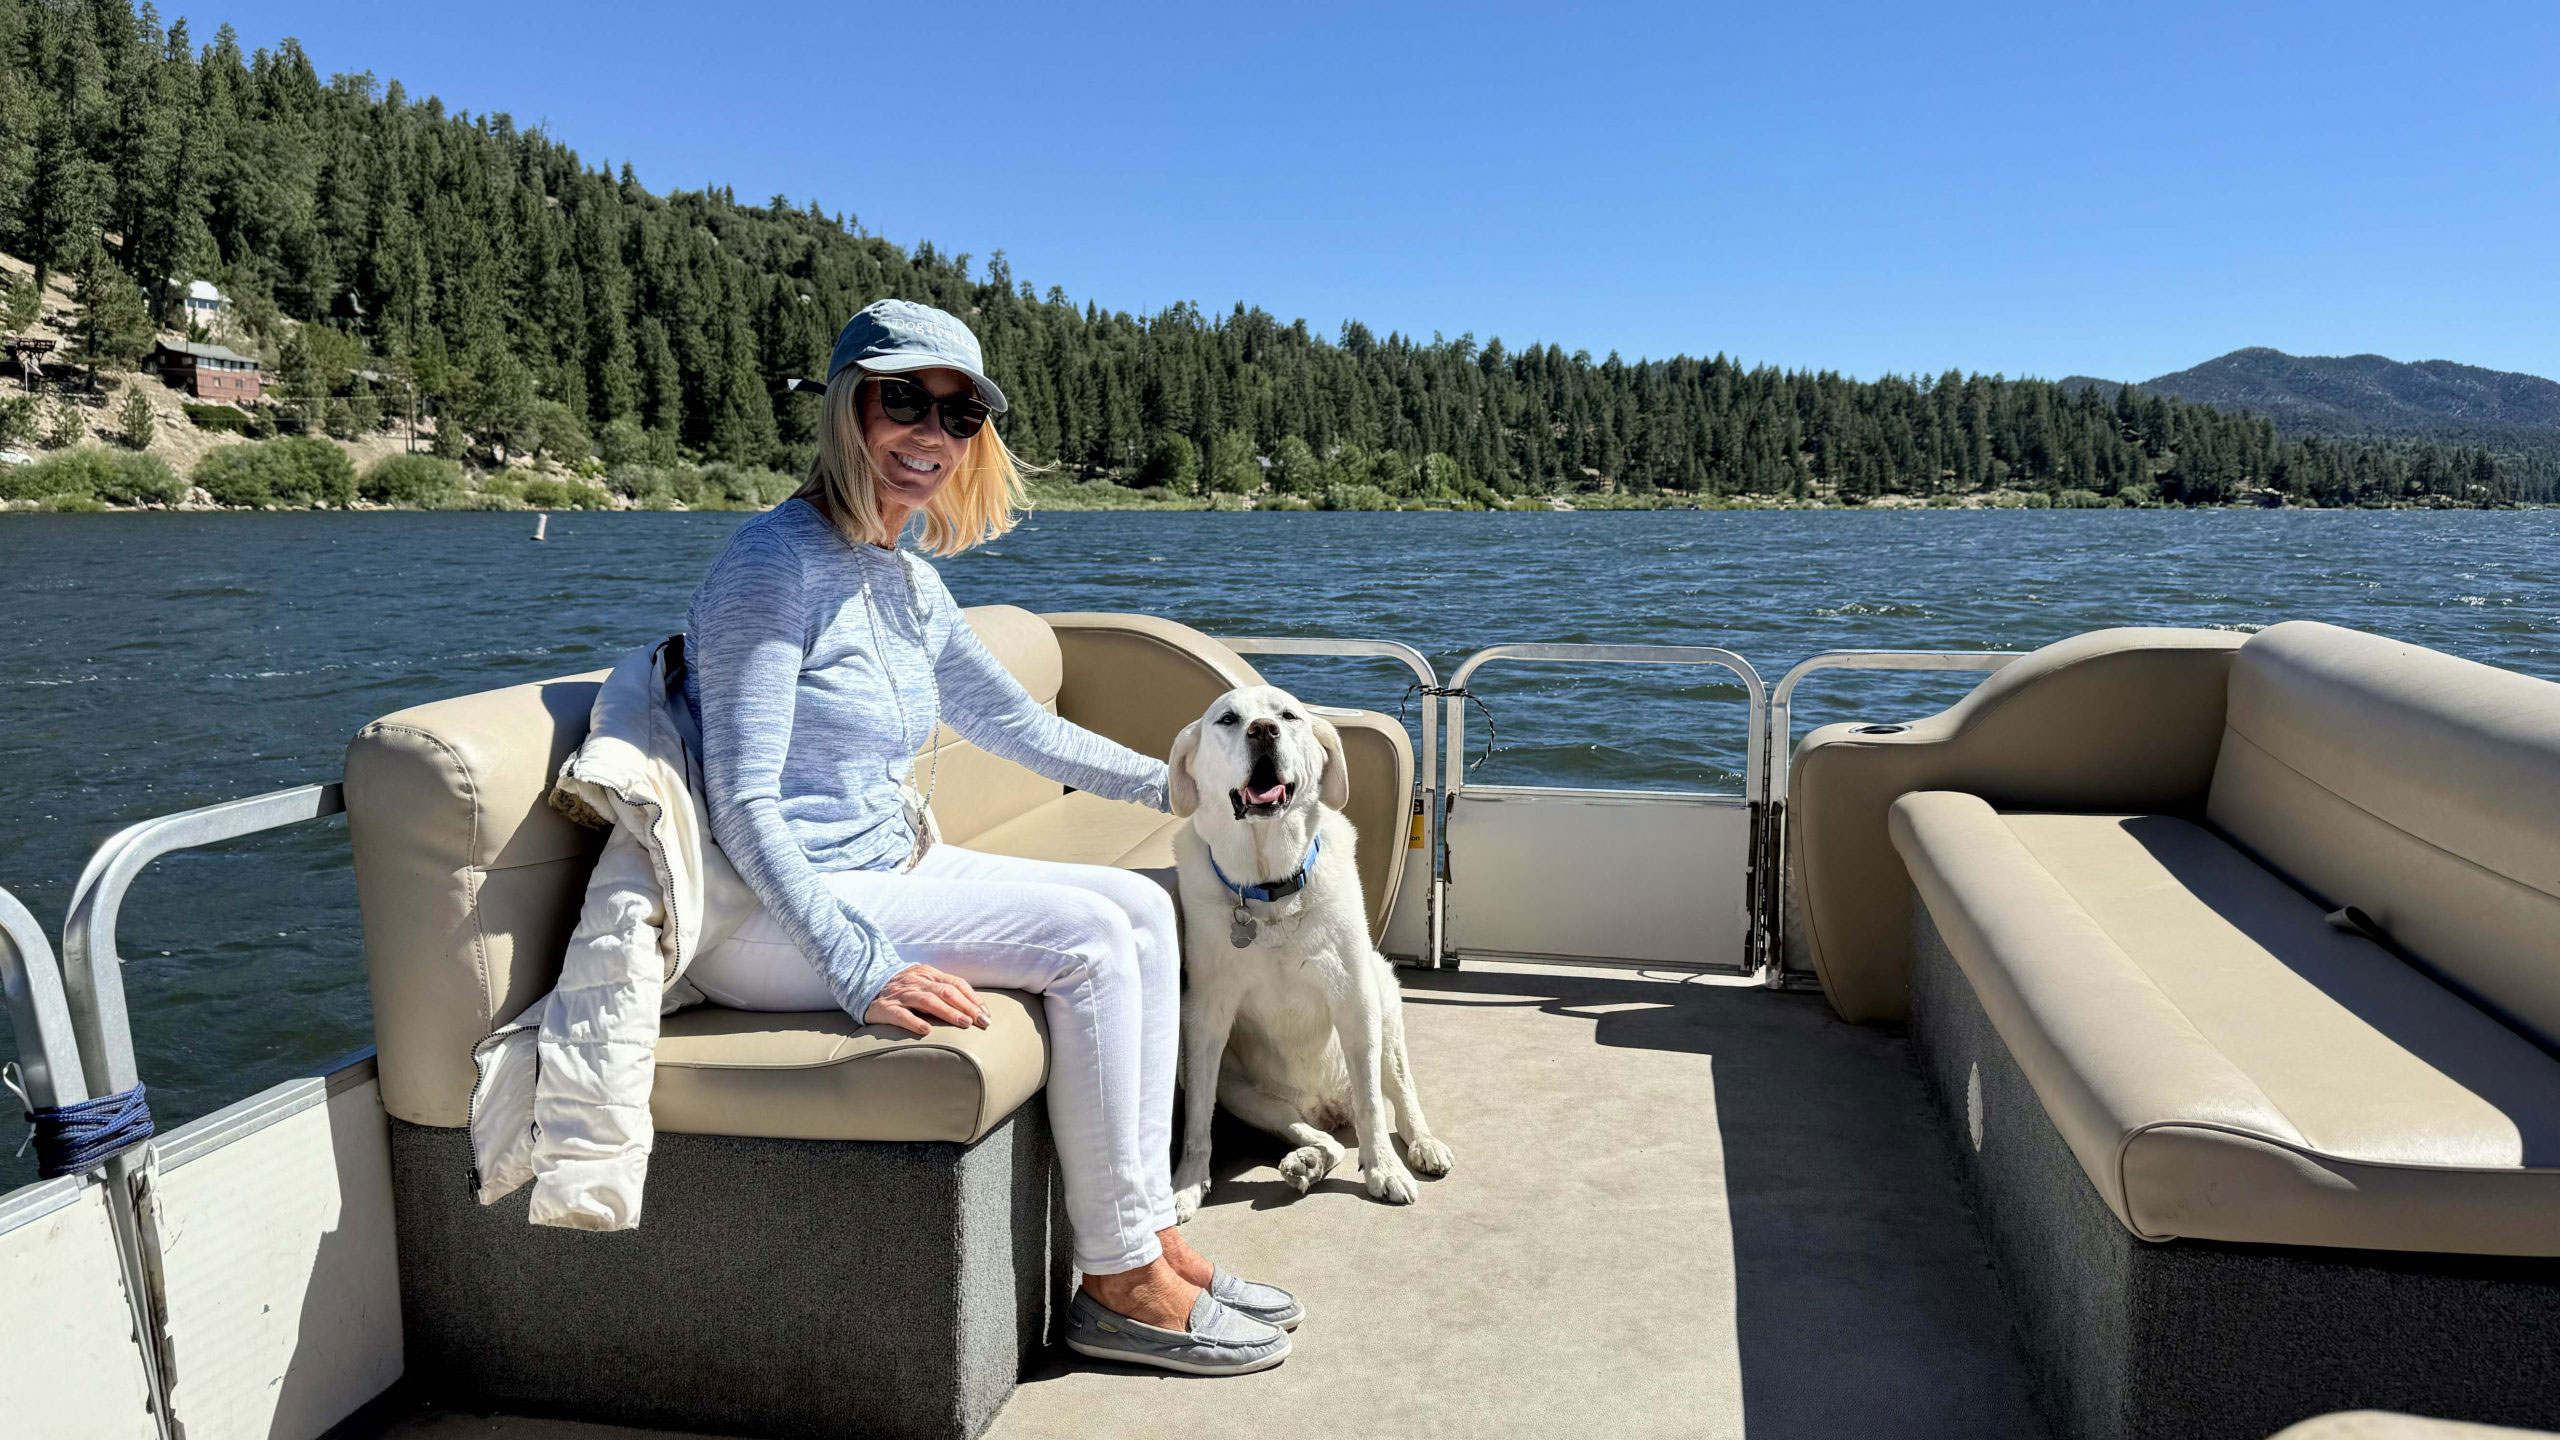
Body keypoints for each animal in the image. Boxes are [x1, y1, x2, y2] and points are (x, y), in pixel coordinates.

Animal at [1167, 681, 1454, 1209]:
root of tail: (1327, 1105)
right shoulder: (1204, 1017)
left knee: (1397, 1097)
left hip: (1384, 1003)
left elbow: (1373, 1109)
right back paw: (1307, 1161)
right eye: (1228, 719)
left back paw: (1421, 1144)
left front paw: (1384, 1169)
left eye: (1288, 715)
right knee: (1323, 1139)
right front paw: (1187, 1184)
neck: (1270, 889)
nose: (1263, 730)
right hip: (1245, 1093)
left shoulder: (1356, 999)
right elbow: (1196, 1117)